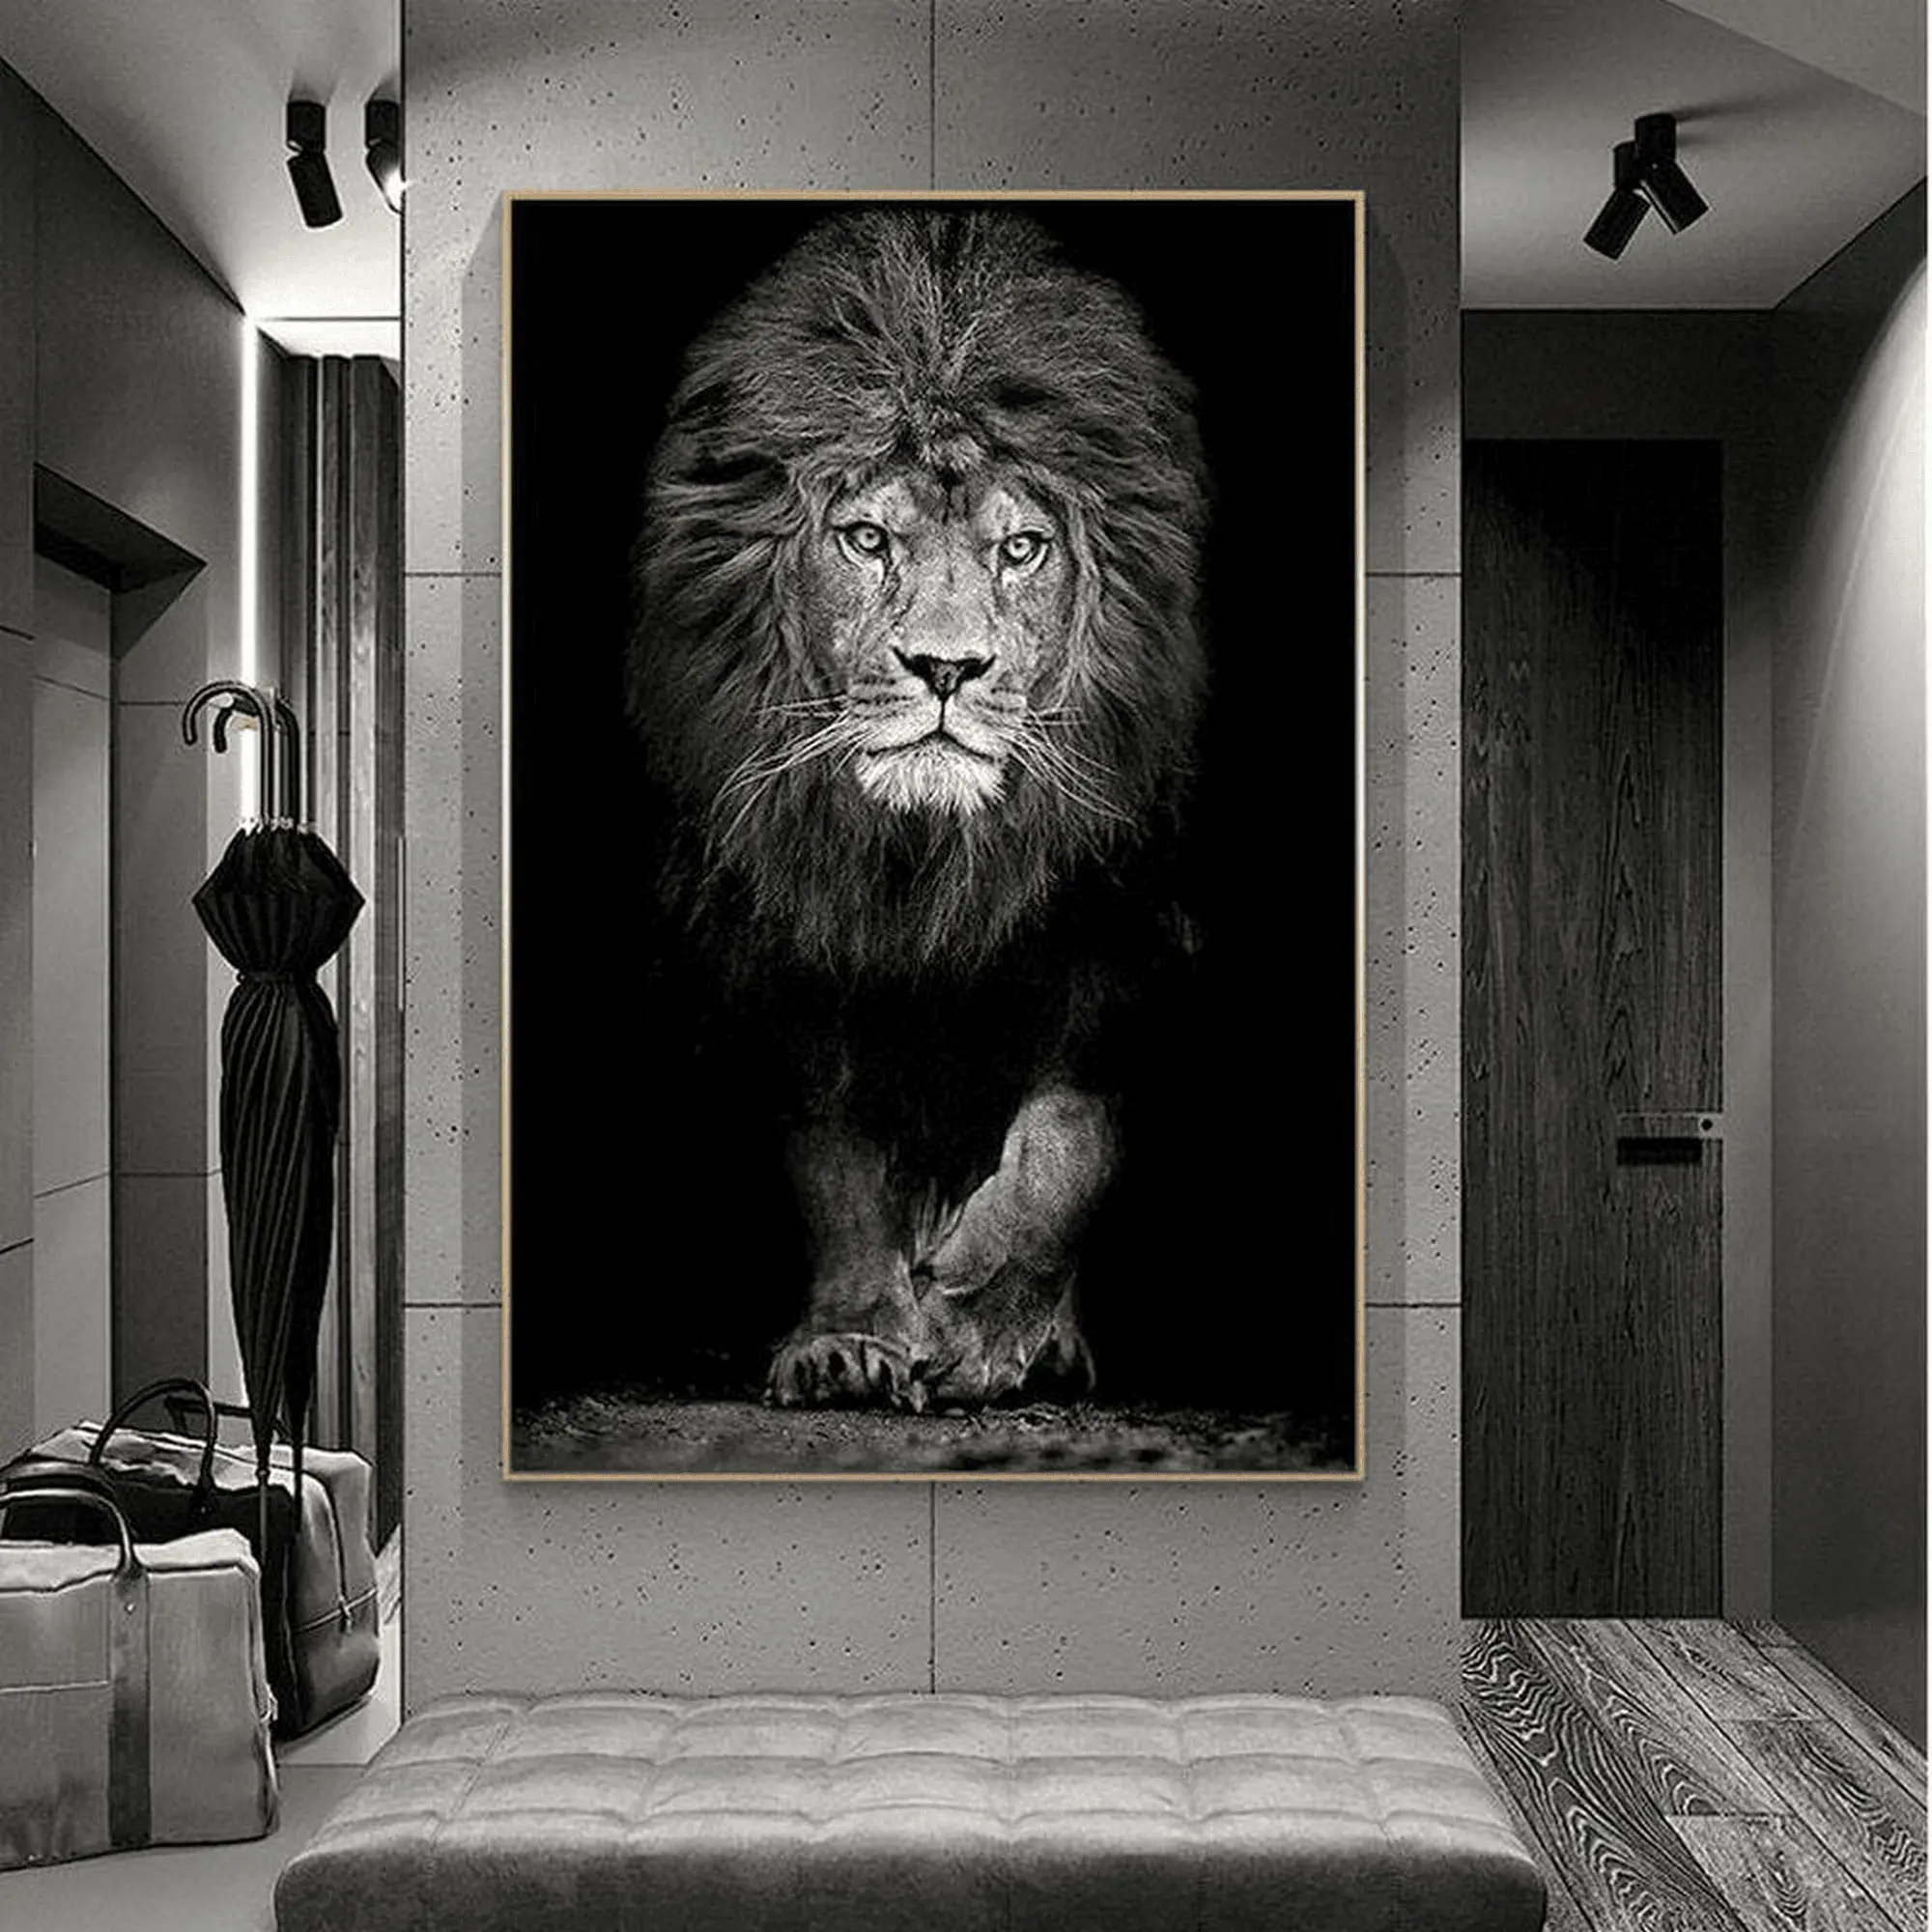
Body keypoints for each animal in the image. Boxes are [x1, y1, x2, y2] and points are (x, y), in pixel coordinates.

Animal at [627, 207, 1208, 1410]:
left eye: (1020, 547)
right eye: (866, 538)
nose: (946, 667)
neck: (927, 860)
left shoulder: (1130, 932)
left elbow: (1067, 1138)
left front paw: (985, 1324)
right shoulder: (782, 948)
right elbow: (832, 1156)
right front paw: (851, 1336)